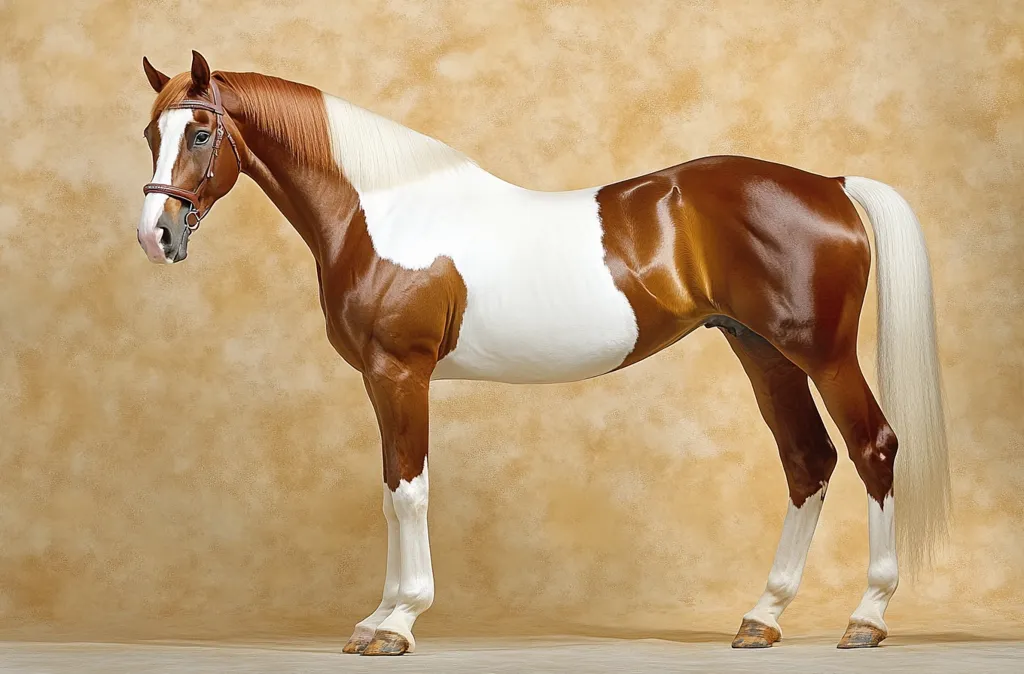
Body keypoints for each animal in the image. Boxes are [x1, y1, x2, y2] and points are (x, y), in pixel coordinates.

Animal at [136, 51, 950, 655]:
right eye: (151, 134)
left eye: (200, 133)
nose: (157, 235)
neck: (383, 210)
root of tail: (831, 185)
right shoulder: (378, 379)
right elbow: (392, 489)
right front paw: (375, 619)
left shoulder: (403, 372)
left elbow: (411, 490)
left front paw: (399, 622)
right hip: (765, 353)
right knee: (808, 462)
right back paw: (763, 618)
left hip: (824, 354)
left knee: (873, 448)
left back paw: (866, 618)